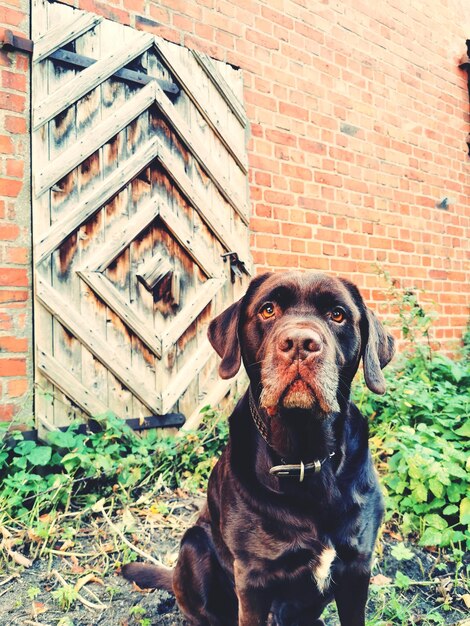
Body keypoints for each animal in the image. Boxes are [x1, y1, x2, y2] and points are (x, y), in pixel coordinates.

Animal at [123, 270, 394, 624]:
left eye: (337, 314)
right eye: (268, 309)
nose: (300, 343)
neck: (305, 457)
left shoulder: (357, 567)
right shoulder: (253, 578)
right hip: (195, 545)